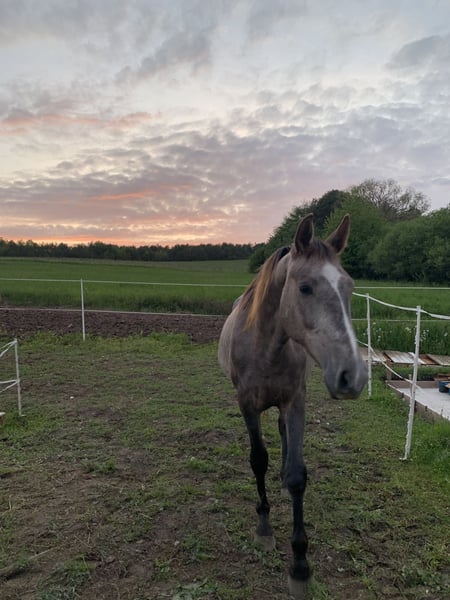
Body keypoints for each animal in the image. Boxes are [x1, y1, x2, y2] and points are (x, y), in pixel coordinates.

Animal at [218, 213, 367, 598]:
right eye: (305, 288)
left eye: (349, 287)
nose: (353, 376)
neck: (266, 346)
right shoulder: (247, 405)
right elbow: (258, 461)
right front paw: (264, 529)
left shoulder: (295, 401)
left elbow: (298, 474)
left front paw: (300, 567)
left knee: (285, 435)